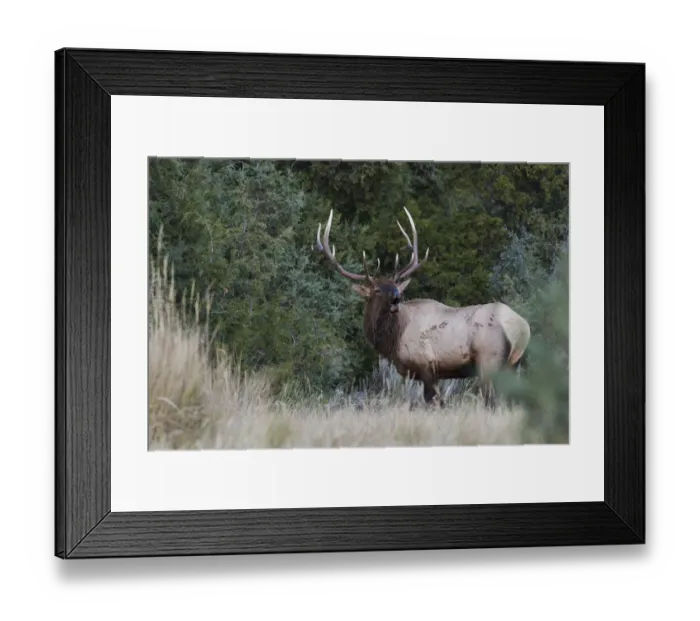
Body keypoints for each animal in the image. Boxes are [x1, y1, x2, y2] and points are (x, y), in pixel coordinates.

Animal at [314, 207, 531, 408]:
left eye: (394, 285)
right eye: (376, 289)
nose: (396, 297)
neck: (393, 339)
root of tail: (521, 326)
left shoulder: (426, 364)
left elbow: (432, 402)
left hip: (489, 360)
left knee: (492, 401)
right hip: (514, 363)